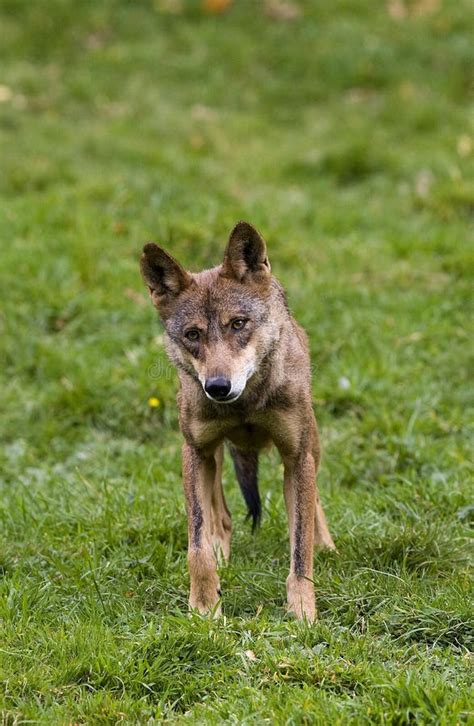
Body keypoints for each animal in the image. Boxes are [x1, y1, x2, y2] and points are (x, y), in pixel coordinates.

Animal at [139, 220, 336, 620]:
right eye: (192, 334)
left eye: (237, 324)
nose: (217, 386)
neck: (245, 407)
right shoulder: (195, 452)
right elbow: (197, 546)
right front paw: (204, 610)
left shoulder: (296, 458)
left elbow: (300, 549)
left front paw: (303, 615)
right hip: (211, 457)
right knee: (223, 518)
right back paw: (222, 556)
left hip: (311, 448)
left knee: (314, 506)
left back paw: (327, 546)